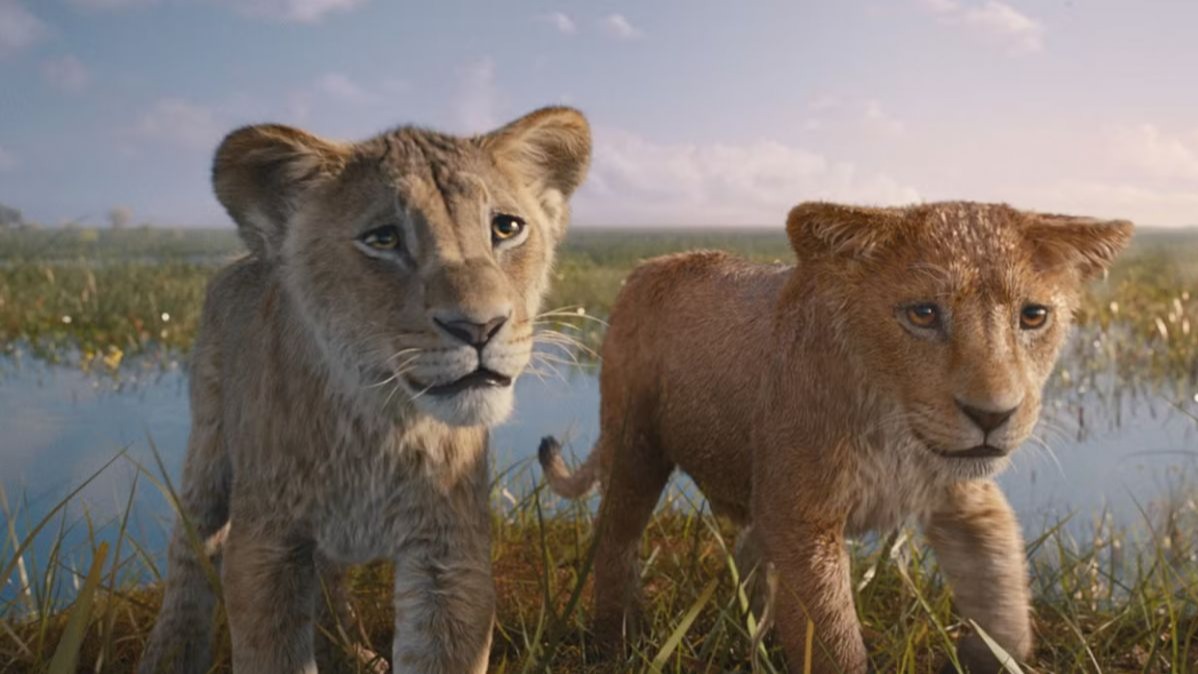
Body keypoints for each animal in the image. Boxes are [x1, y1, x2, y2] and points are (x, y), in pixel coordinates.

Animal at [138, 106, 591, 674]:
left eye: (505, 227)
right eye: (383, 239)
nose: (481, 328)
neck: (379, 423)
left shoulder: (449, 552)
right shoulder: (266, 546)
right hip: (209, 444)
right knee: (190, 545)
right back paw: (169, 654)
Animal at [539, 201, 1132, 673]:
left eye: (1033, 316)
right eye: (923, 314)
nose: (993, 415)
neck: (895, 431)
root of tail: (650, 264)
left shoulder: (965, 499)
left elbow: (1003, 593)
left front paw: (986, 655)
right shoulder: (804, 520)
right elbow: (834, 641)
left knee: (750, 554)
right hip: (635, 442)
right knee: (616, 538)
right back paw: (615, 642)